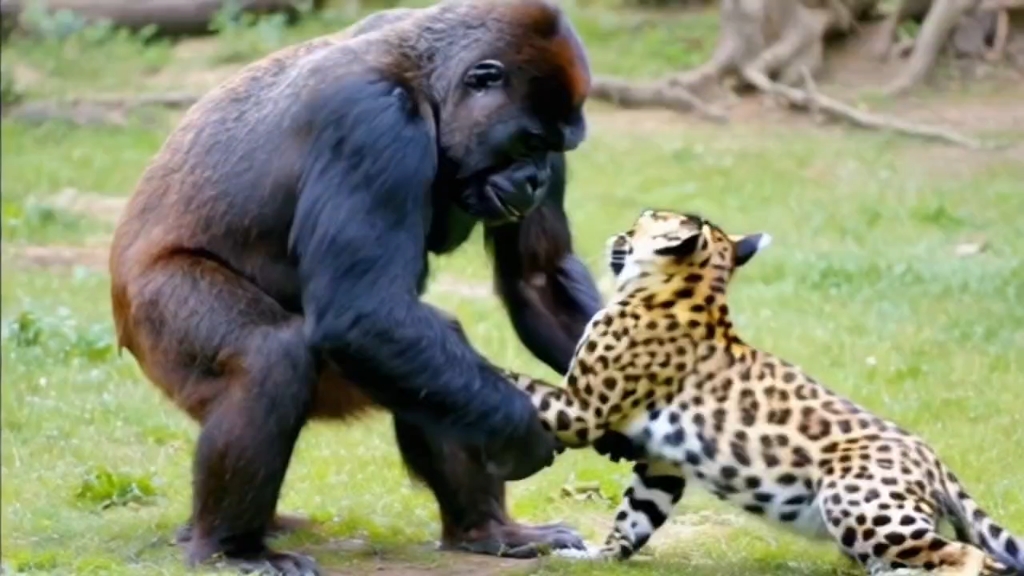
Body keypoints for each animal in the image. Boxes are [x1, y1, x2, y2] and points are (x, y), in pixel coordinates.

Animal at [112, 0, 606, 569]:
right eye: (529, 141)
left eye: (552, 147)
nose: (535, 179)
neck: (426, 83)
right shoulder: (373, 121)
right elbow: (363, 312)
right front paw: (521, 429)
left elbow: (538, 278)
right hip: (149, 319)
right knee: (271, 354)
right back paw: (232, 548)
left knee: (434, 364)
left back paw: (487, 529)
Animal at [497, 207, 1024, 573]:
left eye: (644, 221)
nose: (618, 235)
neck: (693, 291)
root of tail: (934, 460)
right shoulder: (664, 462)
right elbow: (634, 519)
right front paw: (596, 558)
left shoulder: (583, 408)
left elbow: (524, 383)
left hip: (858, 503)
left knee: (969, 557)